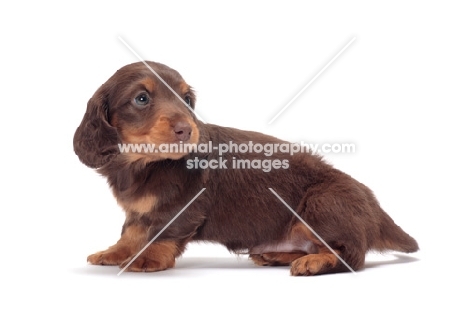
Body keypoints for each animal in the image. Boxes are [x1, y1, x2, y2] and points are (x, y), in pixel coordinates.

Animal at [75, 61, 418, 276]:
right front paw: (116, 252)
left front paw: (147, 257)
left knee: (351, 256)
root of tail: (375, 208)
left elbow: (163, 231)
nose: (187, 130)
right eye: (142, 98)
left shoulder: (183, 205)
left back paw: (315, 263)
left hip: (323, 202)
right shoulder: (136, 211)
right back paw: (276, 255)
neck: (143, 163)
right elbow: (131, 231)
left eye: (187, 99)